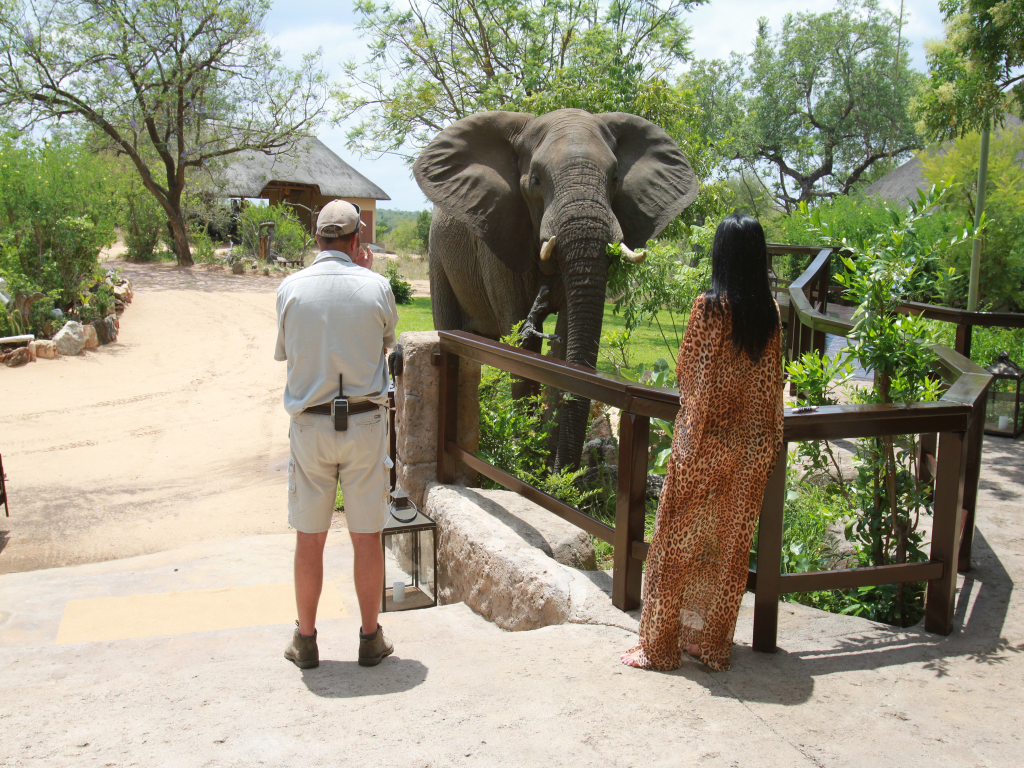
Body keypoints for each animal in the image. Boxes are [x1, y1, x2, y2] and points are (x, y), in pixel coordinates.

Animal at [412, 108, 698, 471]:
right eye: (535, 179)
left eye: (615, 178)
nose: (567, 471)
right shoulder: (501, 234)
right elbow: (523, 342)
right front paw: (527, 463)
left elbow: (563, 344)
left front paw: (551, 469)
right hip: (439, 254)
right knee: (450, 327)